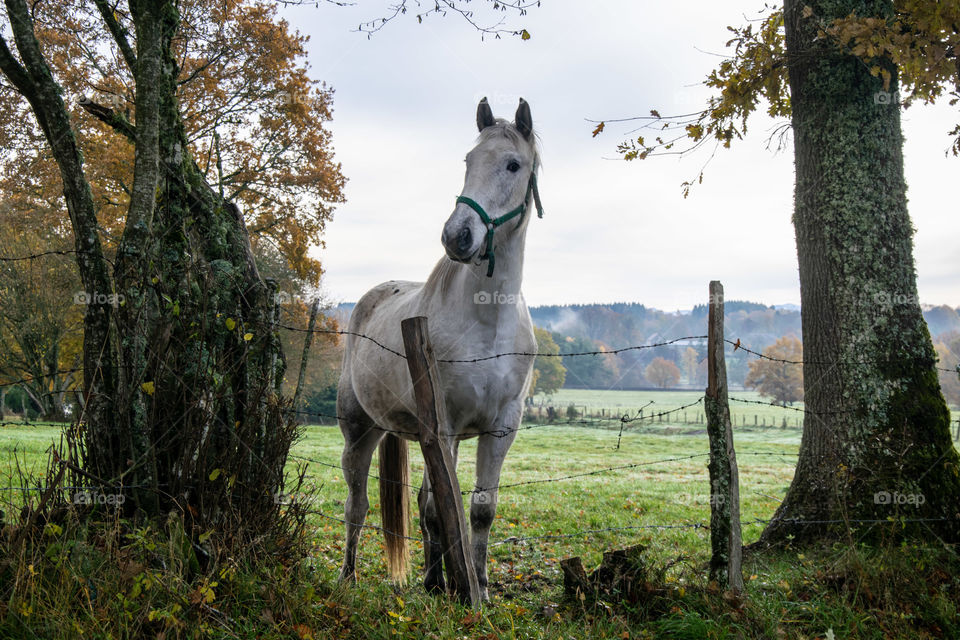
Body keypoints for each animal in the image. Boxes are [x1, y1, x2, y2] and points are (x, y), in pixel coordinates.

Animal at [342, 97, 544, 596]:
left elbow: (479, 508)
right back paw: (348, 576)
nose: (458, 236)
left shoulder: (502, 427)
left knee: (420, 500)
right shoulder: (447, 425)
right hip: (359, 430)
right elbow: (441, 507)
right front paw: (452, 587)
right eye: (468, 161)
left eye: (512, 164)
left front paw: (479, 586)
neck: (488, 322)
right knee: (357, 505)